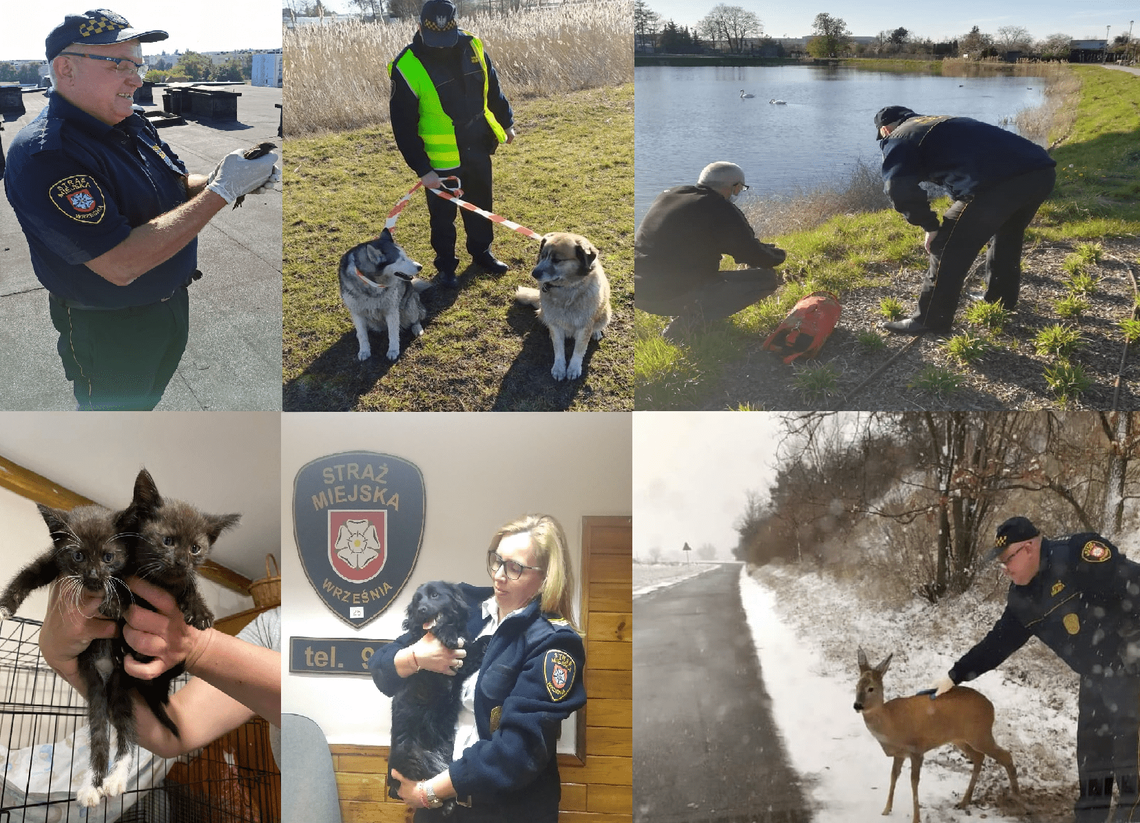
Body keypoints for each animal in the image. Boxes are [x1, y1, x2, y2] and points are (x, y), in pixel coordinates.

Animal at [337, 229, 430, 360]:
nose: (420, 266)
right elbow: (362, 335)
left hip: (409, 306)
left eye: (405, 256)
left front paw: (393, 350)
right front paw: (364, 351)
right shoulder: (356, 312)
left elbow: (393, 334)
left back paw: (417, 328)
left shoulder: (391, 310)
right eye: (401, 260)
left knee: (417, 317)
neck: (372, 284)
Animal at [389, 581, 487, 811]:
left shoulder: (462, 663)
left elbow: (475, 645)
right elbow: (448, 634)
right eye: (417, 601)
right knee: (428, 779)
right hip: (418, 758)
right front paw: (448, 634)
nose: (421, 610)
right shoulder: (448, 666)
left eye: (434, 595)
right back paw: (447, 805)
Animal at [515, 230, 611, 378]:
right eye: (543, 256)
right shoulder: (555, 323)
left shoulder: (585, 326)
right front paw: (559, 368)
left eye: (557, 260)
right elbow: (558, 348)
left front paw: (573, 368)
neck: (566, 289)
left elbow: (579, 350)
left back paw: (596, 332)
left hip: (605, 314)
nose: (534, 273)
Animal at [852, 647, 1021, 820]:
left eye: (871, 688)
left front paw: (916, 819)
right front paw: (886, 810)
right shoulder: (900, 754)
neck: (890, 723)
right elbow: (894, 776)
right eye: (857, 685)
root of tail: (991, 707)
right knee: (979, 757)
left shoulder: (917, 750)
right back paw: (964, 801)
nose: (857, 705)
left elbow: (914, 782)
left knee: (1005, 755)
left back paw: (1016, 798)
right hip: (961, 738)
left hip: (980, 734)